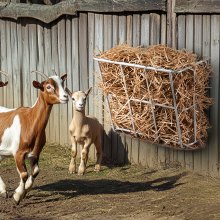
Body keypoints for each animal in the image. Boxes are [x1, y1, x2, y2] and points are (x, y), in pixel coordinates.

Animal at [0, 73, 68, 204]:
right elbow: (24, 174)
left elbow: (36, 171)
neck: (30, 121)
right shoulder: (18, 153)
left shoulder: (36, 153)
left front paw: (25, 190)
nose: (66, 96)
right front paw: (17, 196)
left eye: (62, 83)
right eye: (48, 87)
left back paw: (3, 191)